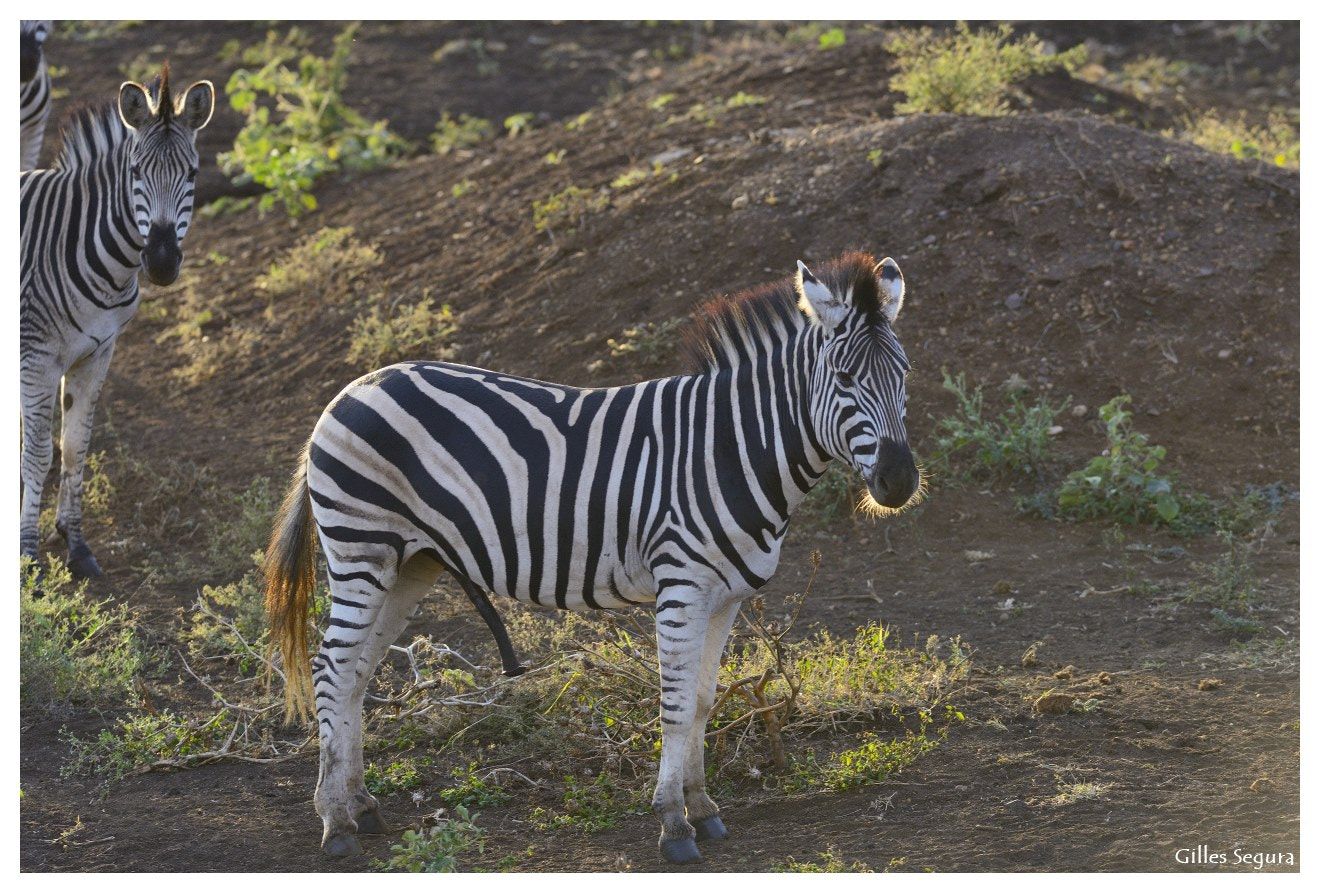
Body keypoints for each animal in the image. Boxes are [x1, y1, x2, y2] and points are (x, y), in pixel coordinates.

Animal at [19, 62, 213, 577]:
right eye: (135, 172)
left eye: (192, 173)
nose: (162, 262)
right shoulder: (37, 358)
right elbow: (38, 453)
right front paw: (28, 555)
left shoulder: (97, 352)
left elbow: (76, 446)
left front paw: (76, 545)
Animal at [262, 246, 924, 860]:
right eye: (844, 380)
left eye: (906, 375)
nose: (899, 482)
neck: (731, 448)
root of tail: (349, 390)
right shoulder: (682, 587)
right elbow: (676, 705)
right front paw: (674, 824)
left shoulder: (727, 597)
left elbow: (704, 700)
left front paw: (704, 807)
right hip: (361, 550)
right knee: (331, 669)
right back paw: (335, 825)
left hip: (409, 565)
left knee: (355, 673)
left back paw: (361, 806)